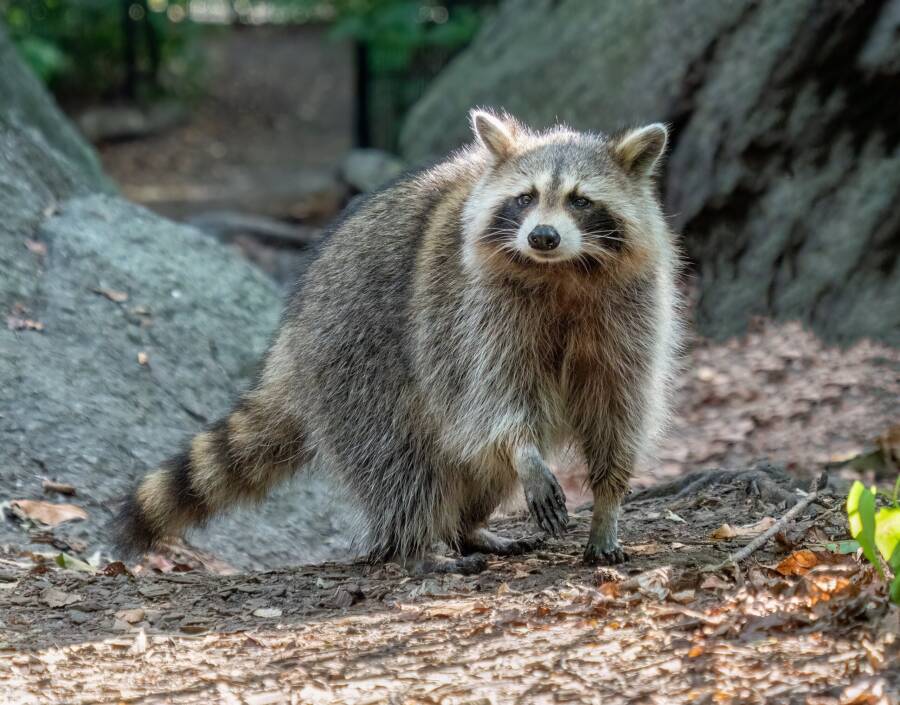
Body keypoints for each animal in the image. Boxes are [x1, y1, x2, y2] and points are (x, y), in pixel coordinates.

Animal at [116, 109, 682, 571]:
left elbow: (618, 406)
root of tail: (291, 340)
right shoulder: (473, 311)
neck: (562, 271)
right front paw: (525, 452)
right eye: (525, 199)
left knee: (474, 465)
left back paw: (468, 527)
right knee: (400, 457)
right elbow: (495, 396)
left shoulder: (630, 311)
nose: (542, 236)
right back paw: (416, 544)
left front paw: (608, 503)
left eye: (580, 201)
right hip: (355, 357)